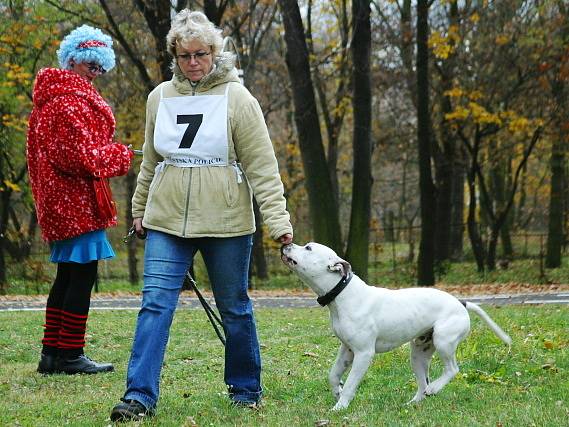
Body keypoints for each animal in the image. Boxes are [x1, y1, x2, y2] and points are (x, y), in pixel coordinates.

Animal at [282, 242, 512, 410]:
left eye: (308, 248)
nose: (286, 244)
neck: (342, 293)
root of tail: (460, 302)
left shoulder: (363, 354)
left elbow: (350, 384)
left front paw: (340, 407)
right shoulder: (347, 350)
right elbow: (333, 375)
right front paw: (336, 391)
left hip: (444, 341)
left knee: (452, 369)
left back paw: (435, 388)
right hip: (419, 354)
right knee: (422, 383)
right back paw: (414, 403)